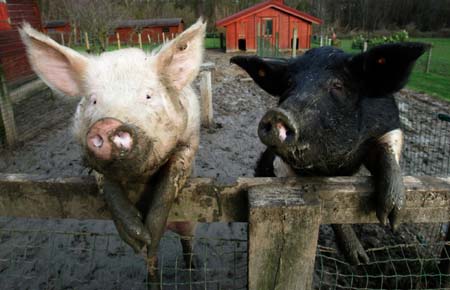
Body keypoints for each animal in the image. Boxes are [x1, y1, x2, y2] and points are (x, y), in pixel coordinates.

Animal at [232, 43, 428, 266]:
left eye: (338, 85)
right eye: (289, 83)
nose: (277, 114)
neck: (334, 165)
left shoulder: (389, 122)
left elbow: (387, 150)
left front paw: (389, 220)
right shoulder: (282, 166)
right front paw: (359, 259)